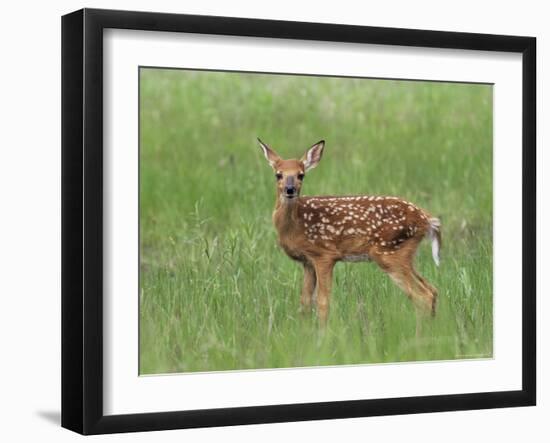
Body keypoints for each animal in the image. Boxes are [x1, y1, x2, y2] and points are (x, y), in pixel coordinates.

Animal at [258, 140, 444, 332]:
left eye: (301, 175)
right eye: (278, 175)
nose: (290, 189)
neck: (296, 225)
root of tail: (427, 219)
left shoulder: (324, 254)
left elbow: (323, 302)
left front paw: (322, 334)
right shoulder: (307, 262)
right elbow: (305, 303)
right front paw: (305, 332)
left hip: (389, 253)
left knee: (422, 296)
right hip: (405, 254)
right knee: (432, 290)